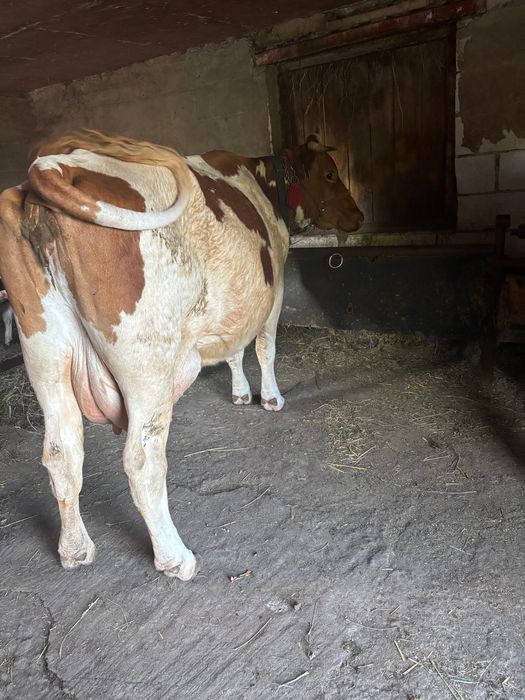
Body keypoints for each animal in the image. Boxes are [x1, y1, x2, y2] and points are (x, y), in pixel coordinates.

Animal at [0, 130, 363, 579]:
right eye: (330, 174)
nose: (359, 215)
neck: (260, 182)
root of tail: (53, 166)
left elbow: (232, 349)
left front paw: (240, 393)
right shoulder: (274, 286)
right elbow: (264, 346)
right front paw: (271, 398)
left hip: (45, 352)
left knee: (60, 453)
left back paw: (75, 549)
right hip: (147, 362)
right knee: (141, 459)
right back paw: (175, 557)